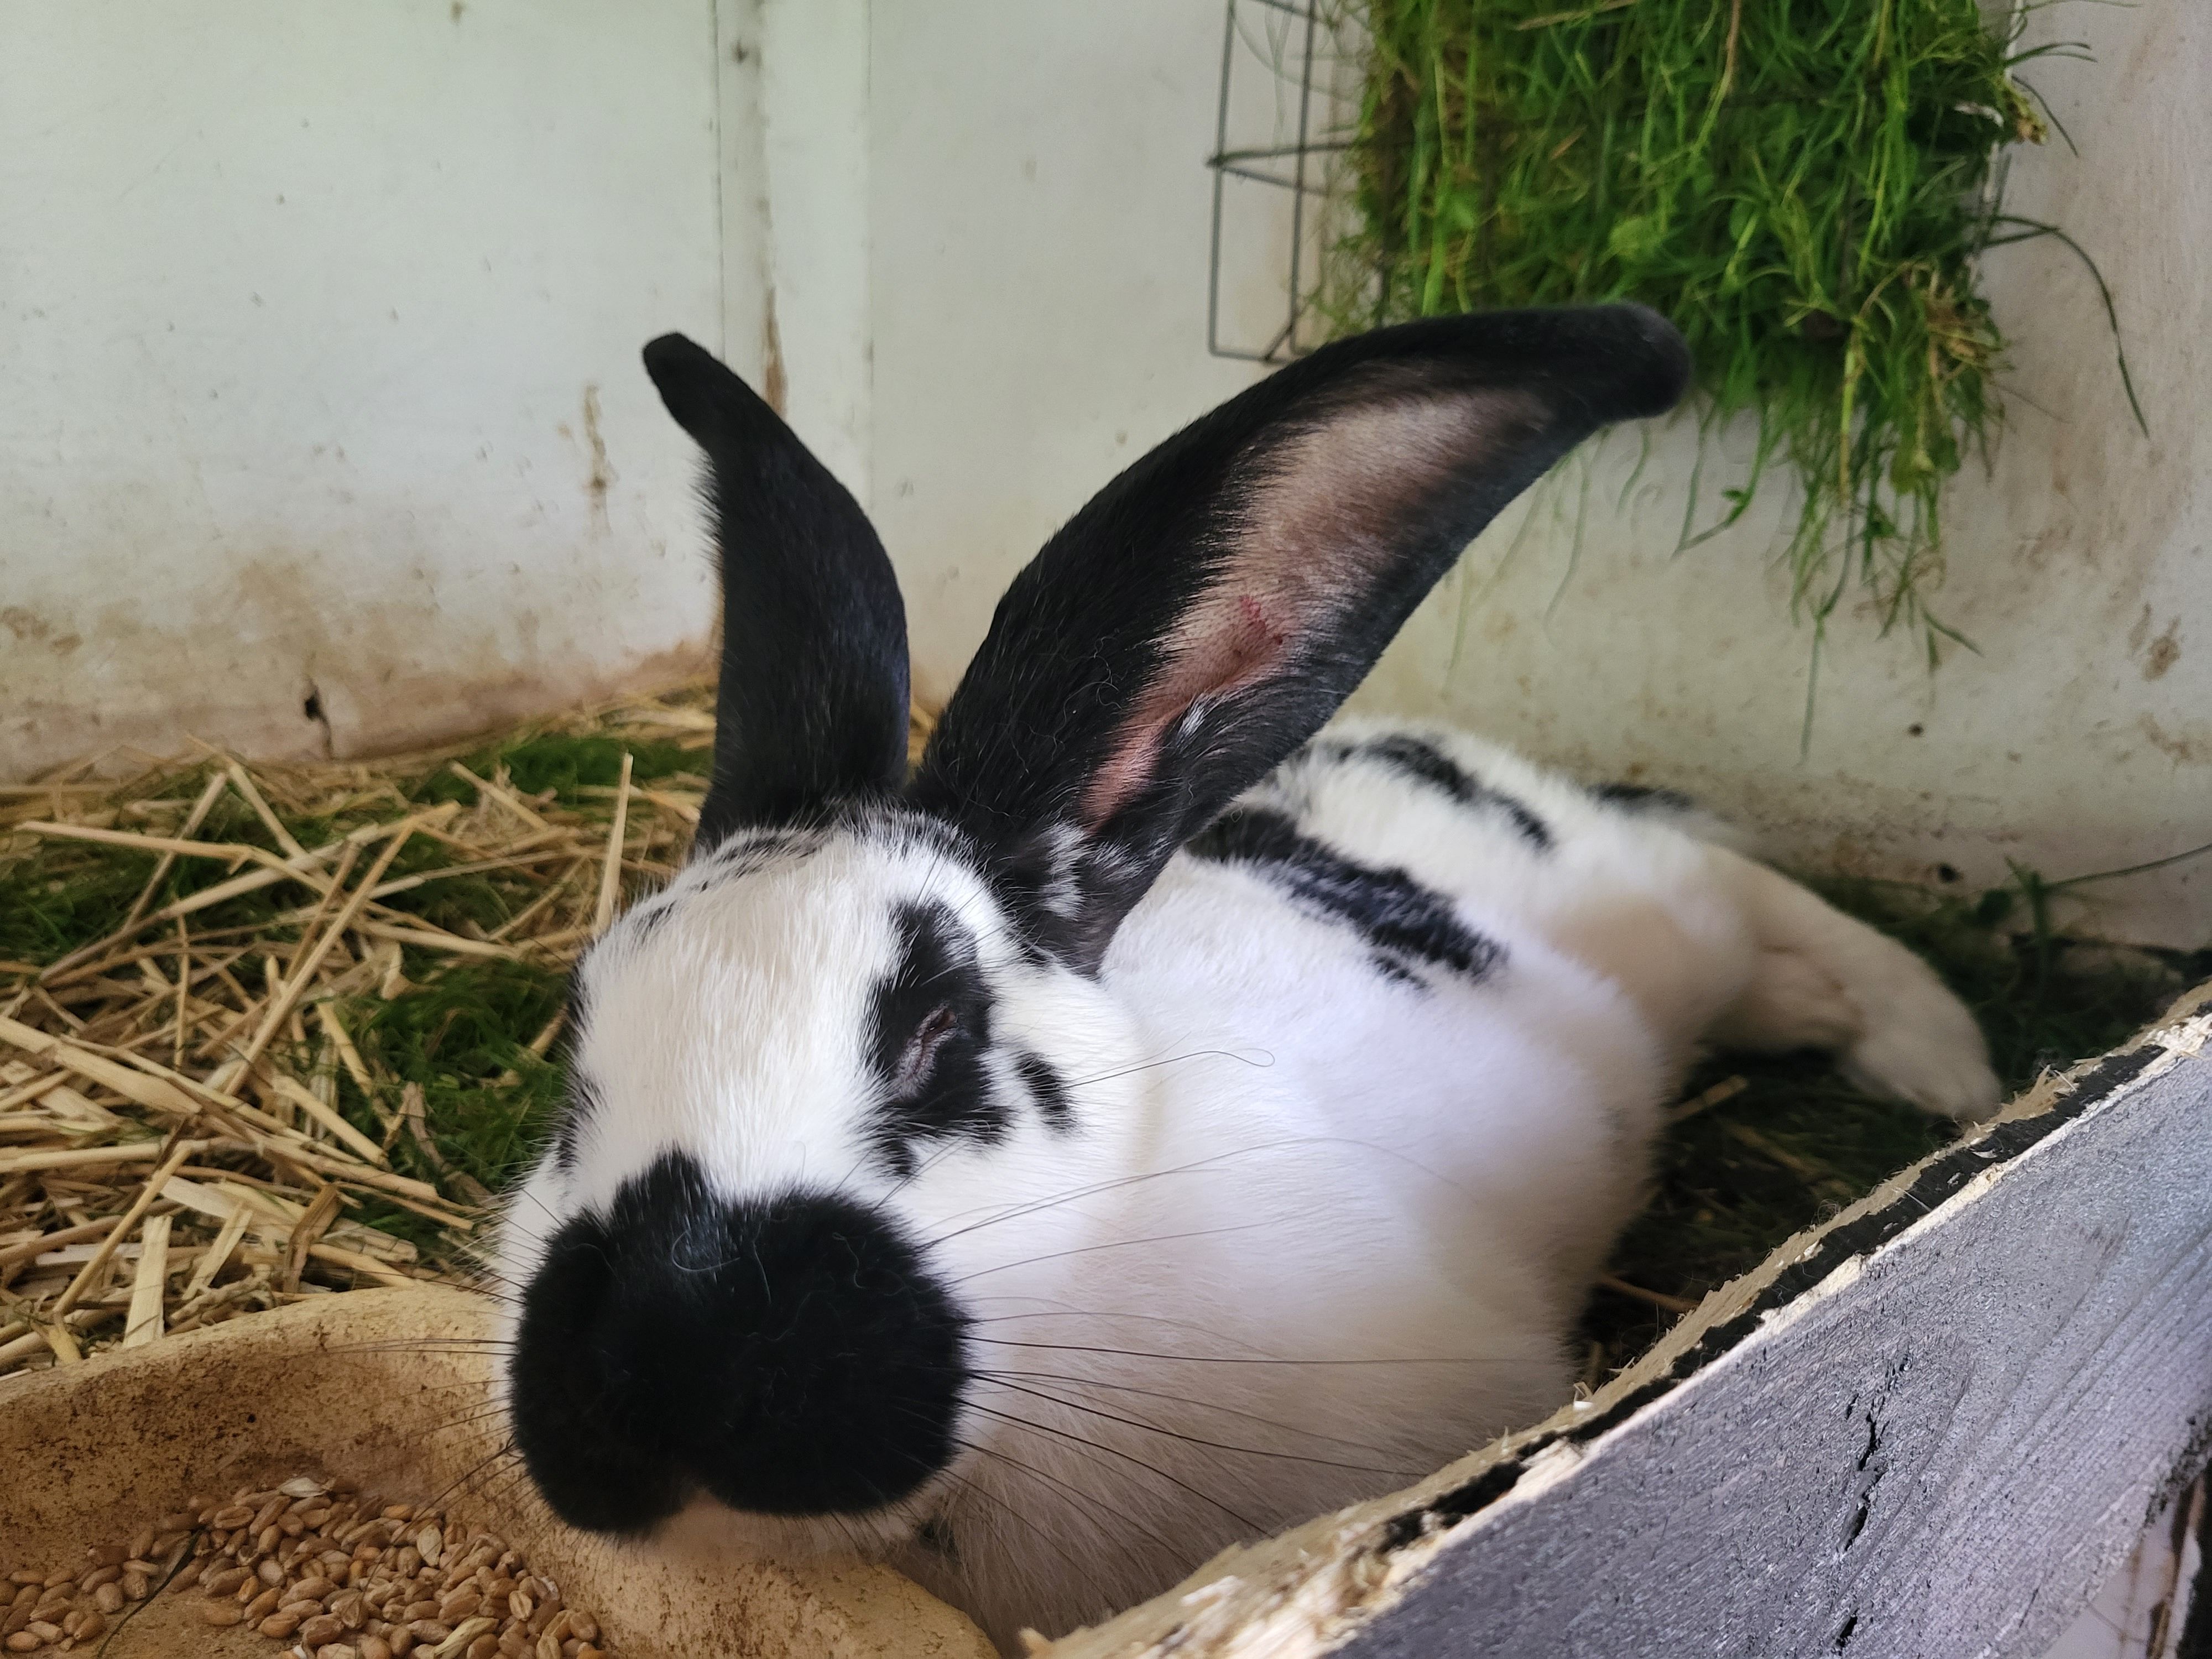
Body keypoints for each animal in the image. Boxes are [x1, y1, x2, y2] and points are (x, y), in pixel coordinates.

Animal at [491, 305, 2001, 1652]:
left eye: (938, 1028)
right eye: (578, 1048)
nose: (648, 1375)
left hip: (1653, 910)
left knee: (1738, 887)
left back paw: (1937, 1054)